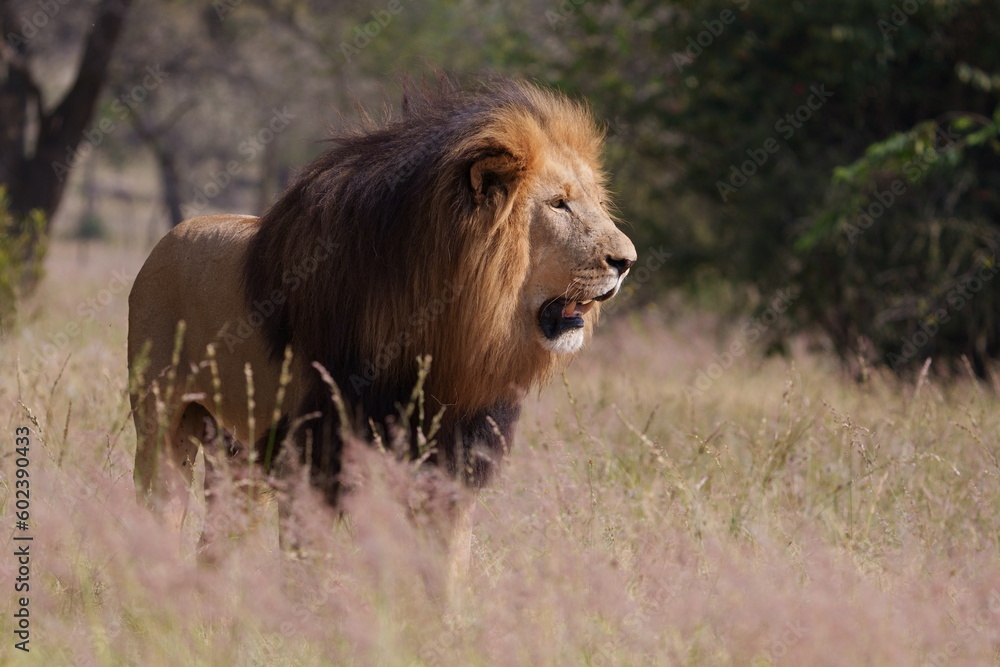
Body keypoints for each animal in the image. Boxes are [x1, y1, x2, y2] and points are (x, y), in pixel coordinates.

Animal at [128, 77, 636, 565]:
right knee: (160, 510)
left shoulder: (450, 465)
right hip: (163, 426)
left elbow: (446, 571)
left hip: (239, 451)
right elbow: (309, 570)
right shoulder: (317, 457)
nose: (627, 261)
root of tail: (168, 237)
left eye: (595, 201)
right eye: (558, 204)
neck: (452, 338)